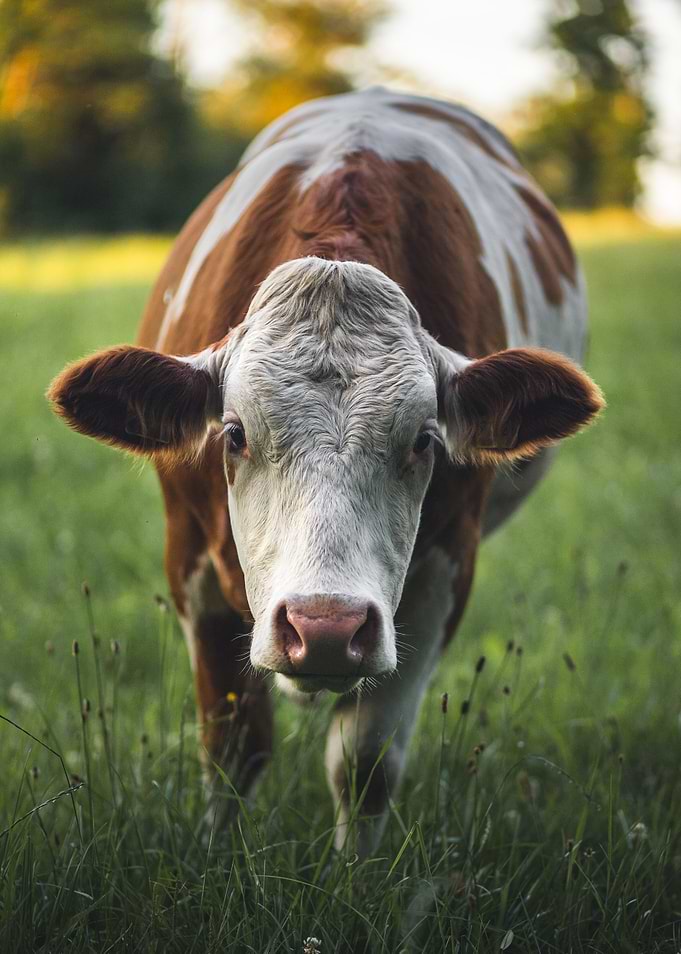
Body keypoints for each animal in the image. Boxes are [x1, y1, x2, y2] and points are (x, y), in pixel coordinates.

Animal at [48, 87, 603, 854]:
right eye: (234, 434)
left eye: (424, 441)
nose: (327, 627)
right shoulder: (188, 558)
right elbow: (233, 745)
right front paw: (218, 857)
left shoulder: (441, 573)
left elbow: (364, 763)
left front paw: (354, 877)